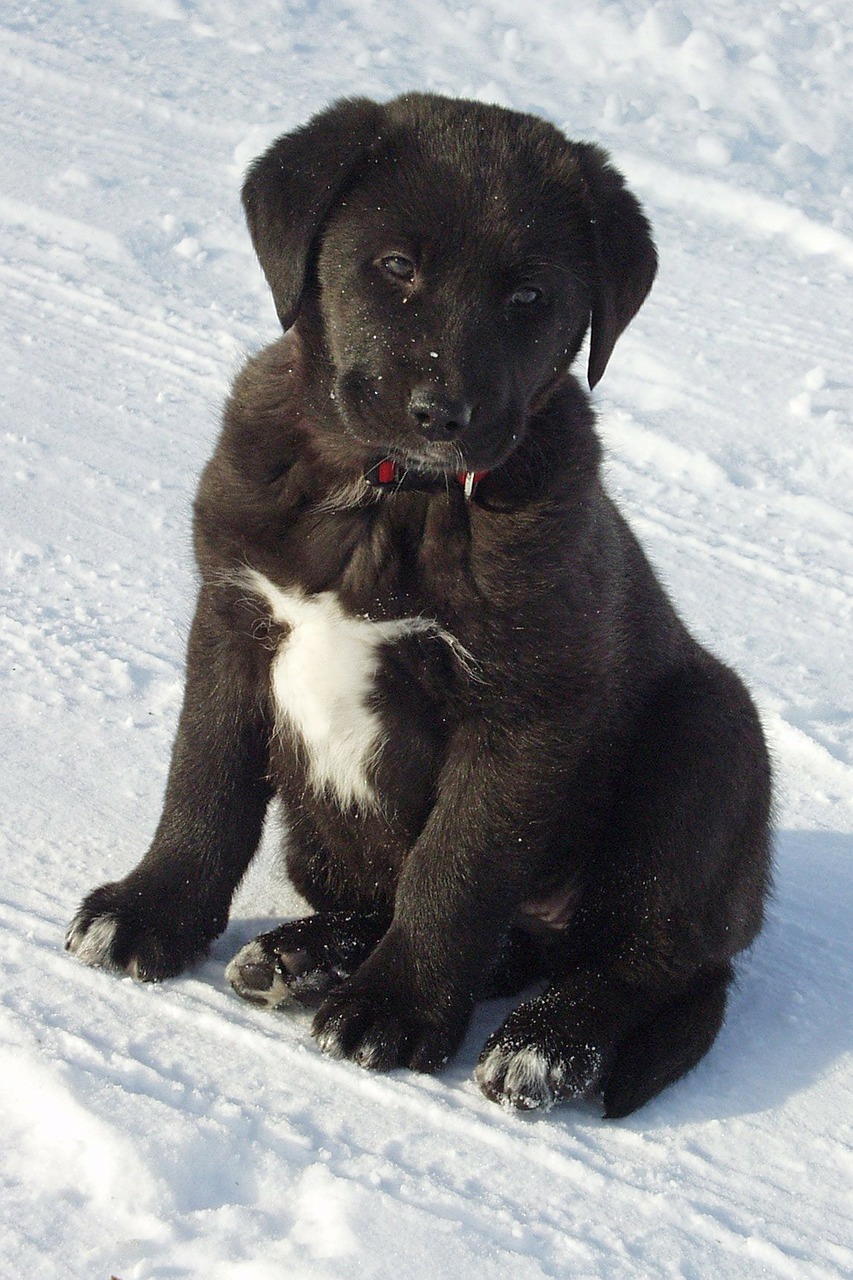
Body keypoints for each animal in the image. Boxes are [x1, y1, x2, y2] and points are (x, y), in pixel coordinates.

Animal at [68, 94, 768, 1116]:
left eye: (528, 299)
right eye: (396, 266)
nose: (443, 413)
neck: (388, 496)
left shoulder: (521, 707)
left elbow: (455, 869)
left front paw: (393, 1011)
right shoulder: (231, 622)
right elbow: (205, 784)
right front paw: (150, 910)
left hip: (709, 740)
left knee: (641, 957)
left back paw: (539, 1044)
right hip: (327, 844)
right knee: (493, 934)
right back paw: (303, 956)